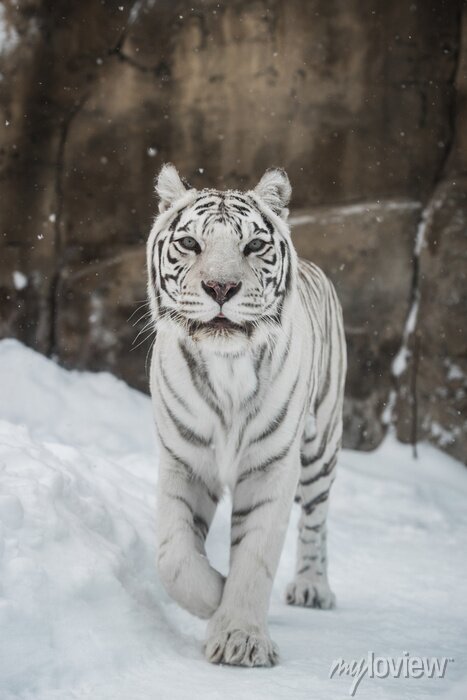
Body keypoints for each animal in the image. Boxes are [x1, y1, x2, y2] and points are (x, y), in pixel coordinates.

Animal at [146, 164, 346, 667]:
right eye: (190, 243)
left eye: (253, 246)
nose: (221, 287)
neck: (227, 368)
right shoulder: (184, 460)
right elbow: (174, 558)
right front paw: (216, 593)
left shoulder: (272, 466)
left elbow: (255, 556)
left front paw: (240, 638)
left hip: (321, 442)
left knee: (316, 517)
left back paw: (312, 587)